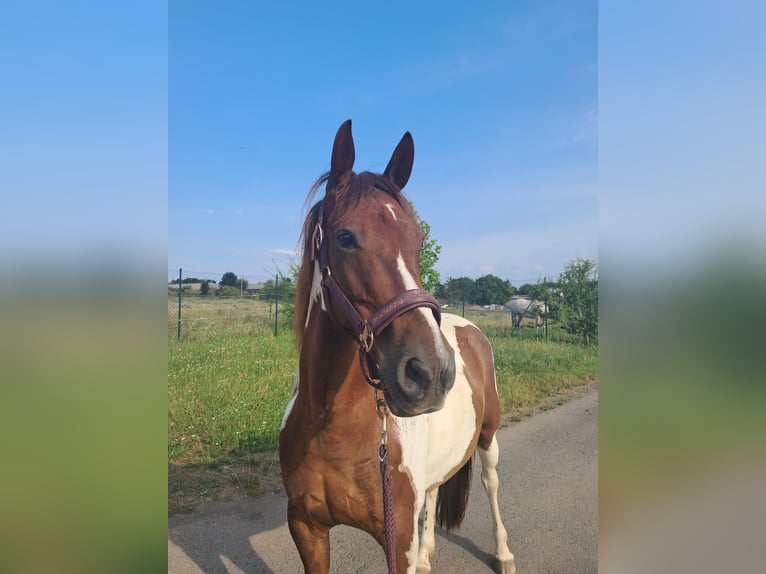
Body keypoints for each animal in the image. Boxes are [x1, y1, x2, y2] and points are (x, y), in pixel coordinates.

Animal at [278, 121, 516, 574]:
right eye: (345, 237)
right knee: (434, 490)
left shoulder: (397, 537)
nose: (432, 372)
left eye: (418, 240)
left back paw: (504, 553)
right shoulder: (306, 529)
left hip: (489, 437)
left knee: (492, 483)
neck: (328, 422)